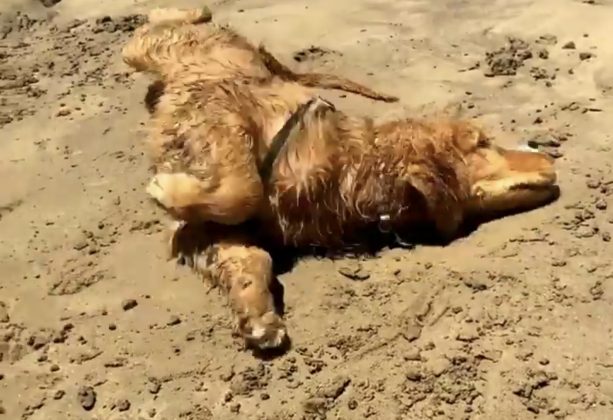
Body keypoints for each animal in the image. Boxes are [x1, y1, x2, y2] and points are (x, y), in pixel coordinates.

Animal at [124, 6, 560, 350]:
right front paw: (164, 188)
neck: (345, 169)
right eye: (482, 142)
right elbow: (242, 187)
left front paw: (259, 318)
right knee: (153, 29)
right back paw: (185, 10)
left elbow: (253, 254)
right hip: (152, 50)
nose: (551, 160)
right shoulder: (223, 113)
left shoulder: (218, 232)